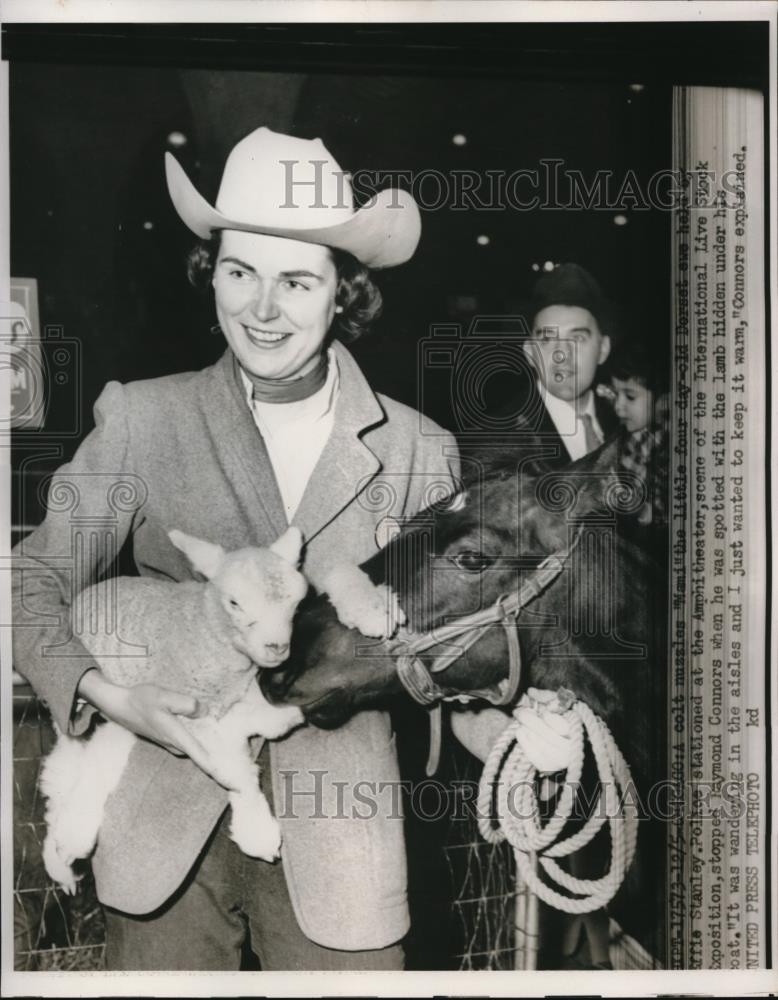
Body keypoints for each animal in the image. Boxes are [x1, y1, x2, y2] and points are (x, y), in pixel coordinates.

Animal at [41, 528, 406, 896]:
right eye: (234, 603)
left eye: (296, 603)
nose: (277, 647)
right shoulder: (198, 716)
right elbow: (236, 769)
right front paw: (258, 831)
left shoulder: (256, 703)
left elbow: (339, 574)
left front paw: (374, 609)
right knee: (61, 774)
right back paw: (63, 855)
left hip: (120, 722)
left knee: (94, 761)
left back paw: (70, 841)